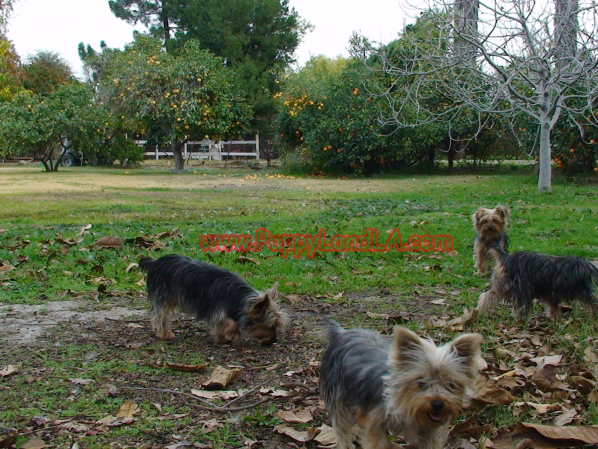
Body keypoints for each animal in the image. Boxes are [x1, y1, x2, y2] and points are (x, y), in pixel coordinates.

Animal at [139, 256, 288, 344]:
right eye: (270, 325)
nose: (274, 340)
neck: (237, 296)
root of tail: (155, 262)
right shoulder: (216, 309)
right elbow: (229, 322)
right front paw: (233, 334)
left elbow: (222, 324)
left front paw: (223, 337)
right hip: (162, 295)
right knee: (160, 316)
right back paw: (165, 333)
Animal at [322, 318, 486, 448]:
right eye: (421, 382)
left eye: (451, 384)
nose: (438, 404)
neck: (407, 405)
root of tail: (341, 333)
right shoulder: (376, 422)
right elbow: (378, 441)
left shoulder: (428, 430)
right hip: (337, 391)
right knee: (341, 426)